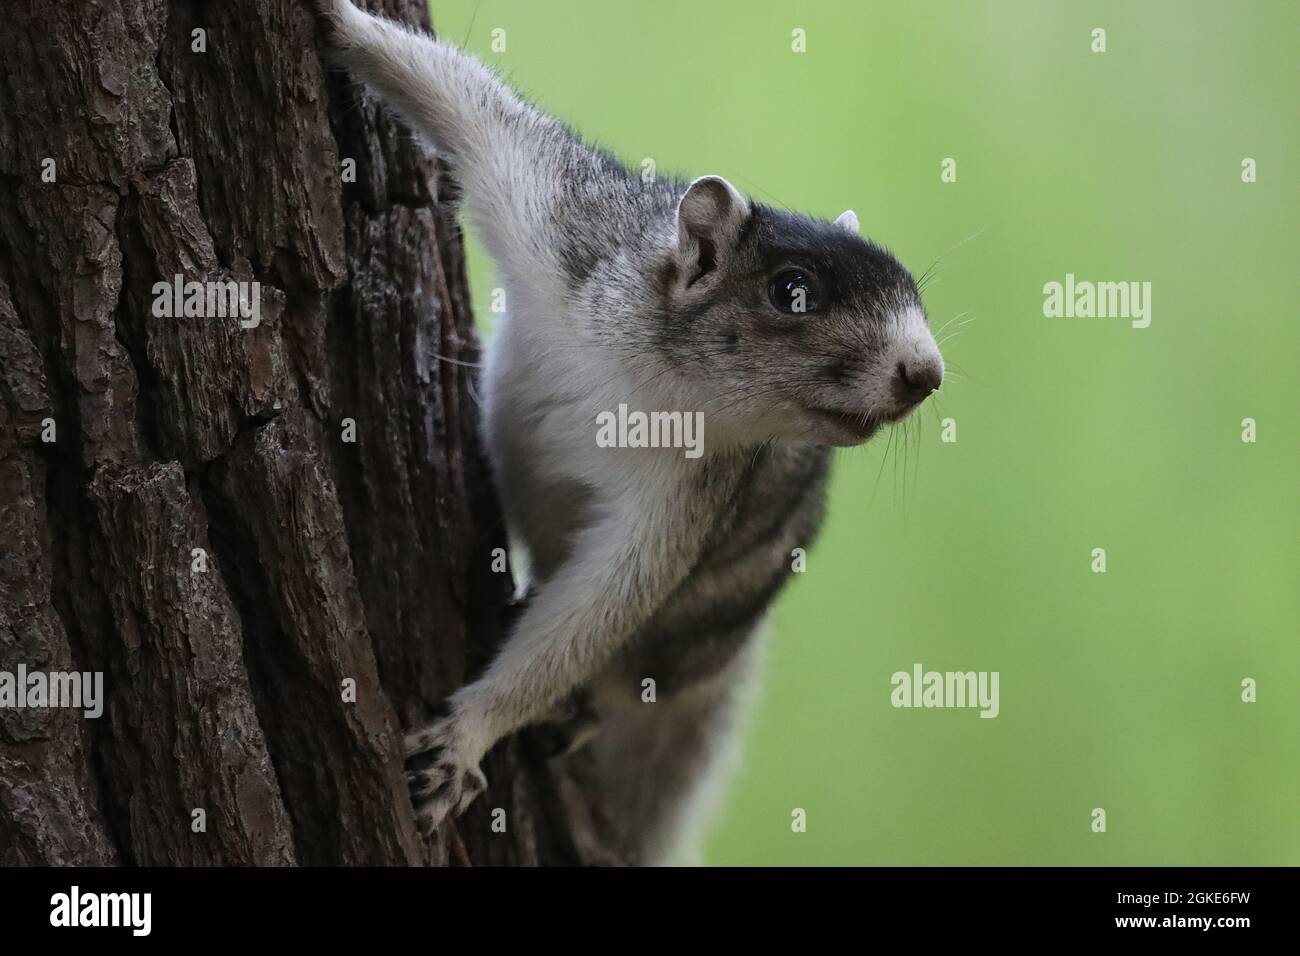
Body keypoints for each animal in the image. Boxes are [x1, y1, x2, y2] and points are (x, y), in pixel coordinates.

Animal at [308, 0, 943, 864]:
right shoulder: (556, 218)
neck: (644, 378)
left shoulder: (686, 495)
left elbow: (602, 602)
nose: (927, 371)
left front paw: (470, 733)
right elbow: (460, 101)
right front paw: (336, 23)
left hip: (698, 625)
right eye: (792, 291)